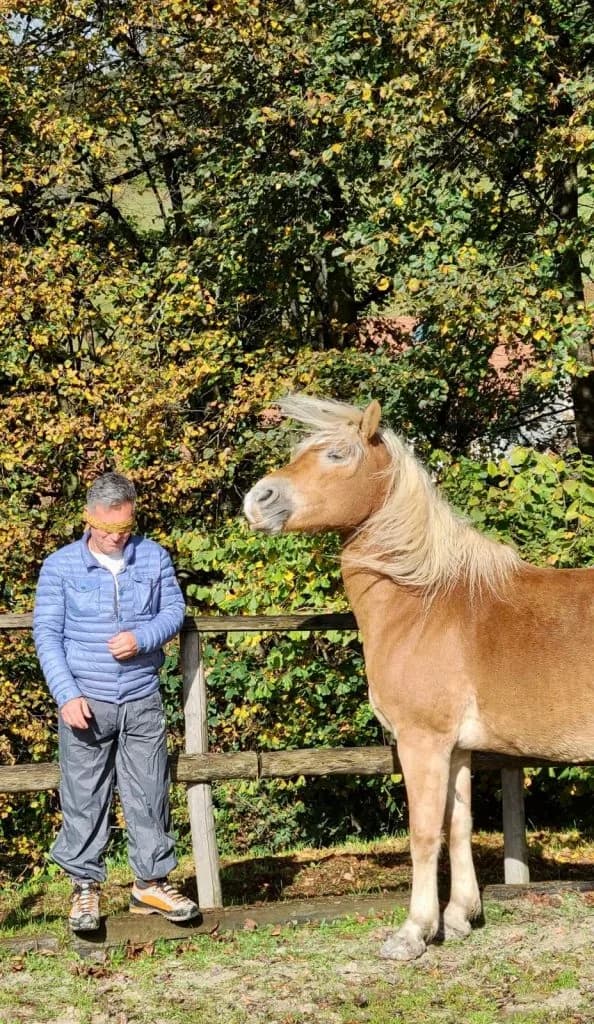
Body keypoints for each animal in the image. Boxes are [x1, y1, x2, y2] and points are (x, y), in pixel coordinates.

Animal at [243, 393, 594, 961]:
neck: (426, 600)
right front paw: (459, 918)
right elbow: (459, 825)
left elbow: (424, 833)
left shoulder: (422, 742)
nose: (258, 499)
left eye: (337, 454)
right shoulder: (457, 749)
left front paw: (413, 932)